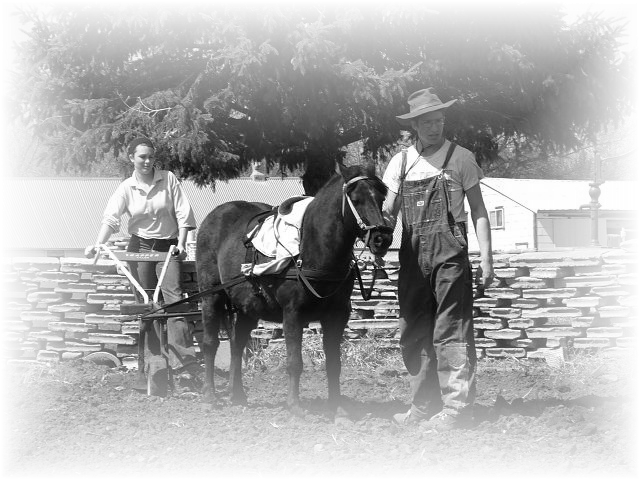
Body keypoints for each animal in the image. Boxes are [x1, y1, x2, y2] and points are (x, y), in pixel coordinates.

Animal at [195, 164, 394, 421]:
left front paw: (337, 407)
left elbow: (334, 363)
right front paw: (295, 407)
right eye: (356, 199)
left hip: (248, 306)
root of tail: (215, 215)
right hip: (212, 295)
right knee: (210, 343)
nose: (382, 238)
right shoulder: (292, 314)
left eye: (381, 198)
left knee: (237, 344)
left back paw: (237, 394)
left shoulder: (337, 316)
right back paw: (209, 396)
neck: (312, 249)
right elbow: (294, 362)